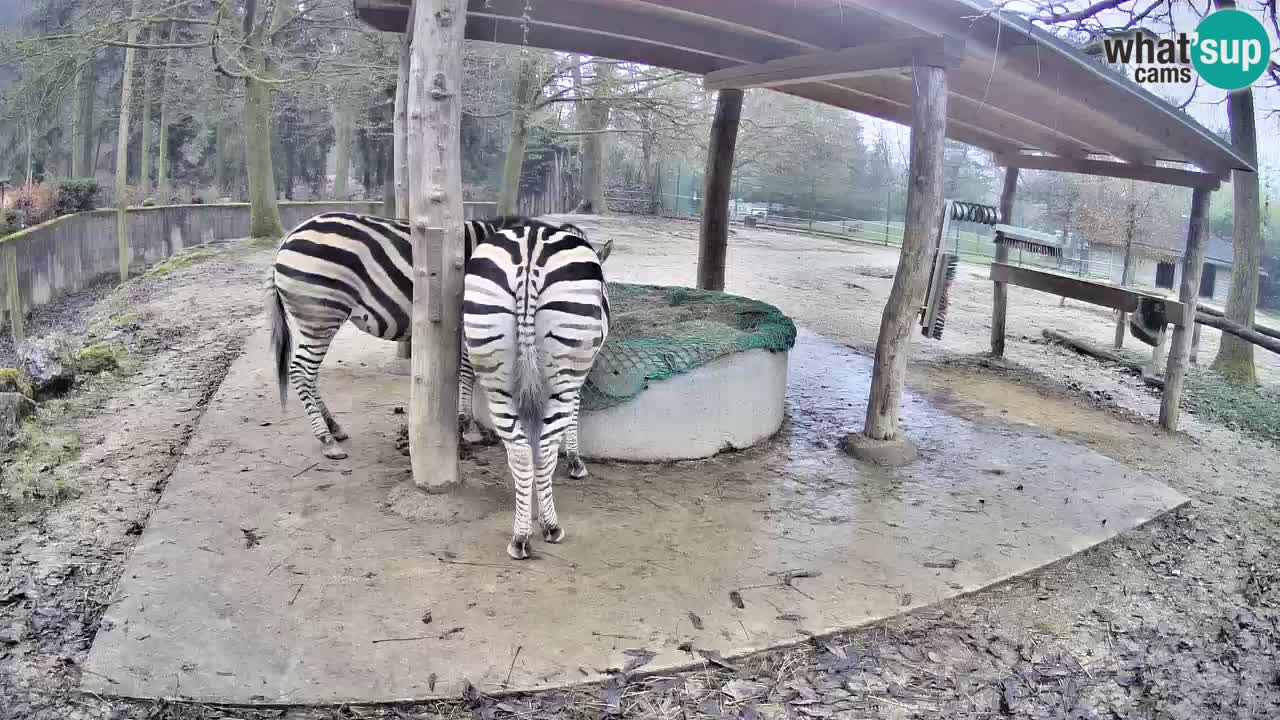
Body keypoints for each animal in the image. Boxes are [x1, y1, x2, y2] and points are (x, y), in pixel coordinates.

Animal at [267, 211, 608, 462]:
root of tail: (288, 237)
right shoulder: (474, 320)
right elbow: (468, 373)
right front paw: (468, 426)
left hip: (315, 319)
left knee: (308, 374)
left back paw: (334, 427)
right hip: (320, 314)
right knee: (301, 371)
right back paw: (326, 439)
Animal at [463, 218, 610, 559]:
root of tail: (530, 247)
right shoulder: (578, 375)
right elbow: (572, 415)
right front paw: (575, 462)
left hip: (494, 372)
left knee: (519, 452)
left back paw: (520, 535)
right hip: (564, 369)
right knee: (543, 450)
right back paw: (550, 526)